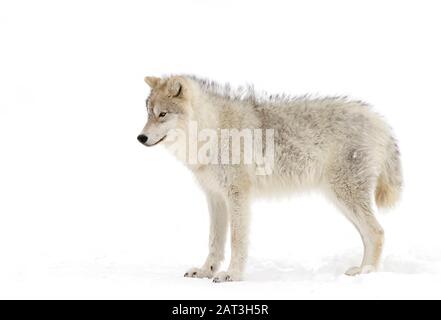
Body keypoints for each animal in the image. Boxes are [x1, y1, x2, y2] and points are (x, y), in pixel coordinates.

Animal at [138, 75, 402, 282]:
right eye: (148, 113)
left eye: (162, 114)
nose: (141, 138)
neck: (212, 130)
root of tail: (380, 120)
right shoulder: (215, 197)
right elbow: (214, 241)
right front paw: (206, 272)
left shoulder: (238, 196)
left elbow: (237, 240)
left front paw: (232, 275)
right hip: (340, 200)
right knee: (371, 234)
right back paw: (363, 270)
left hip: (345, 195)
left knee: (377, 232)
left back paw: (366, 273)